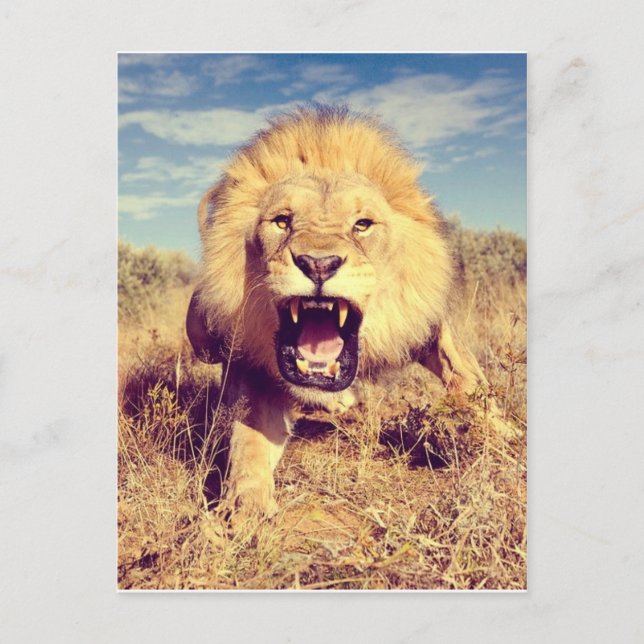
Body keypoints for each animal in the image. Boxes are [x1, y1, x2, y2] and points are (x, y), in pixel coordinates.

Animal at [187, 106, 505, 520]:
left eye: (362, 225)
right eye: (282, 221)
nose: (318, 264)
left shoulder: (425, 323)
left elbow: (468, 378)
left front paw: (508, 437)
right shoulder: (255, 369)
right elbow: (250, 441)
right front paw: (244, 507)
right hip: (205, 334)